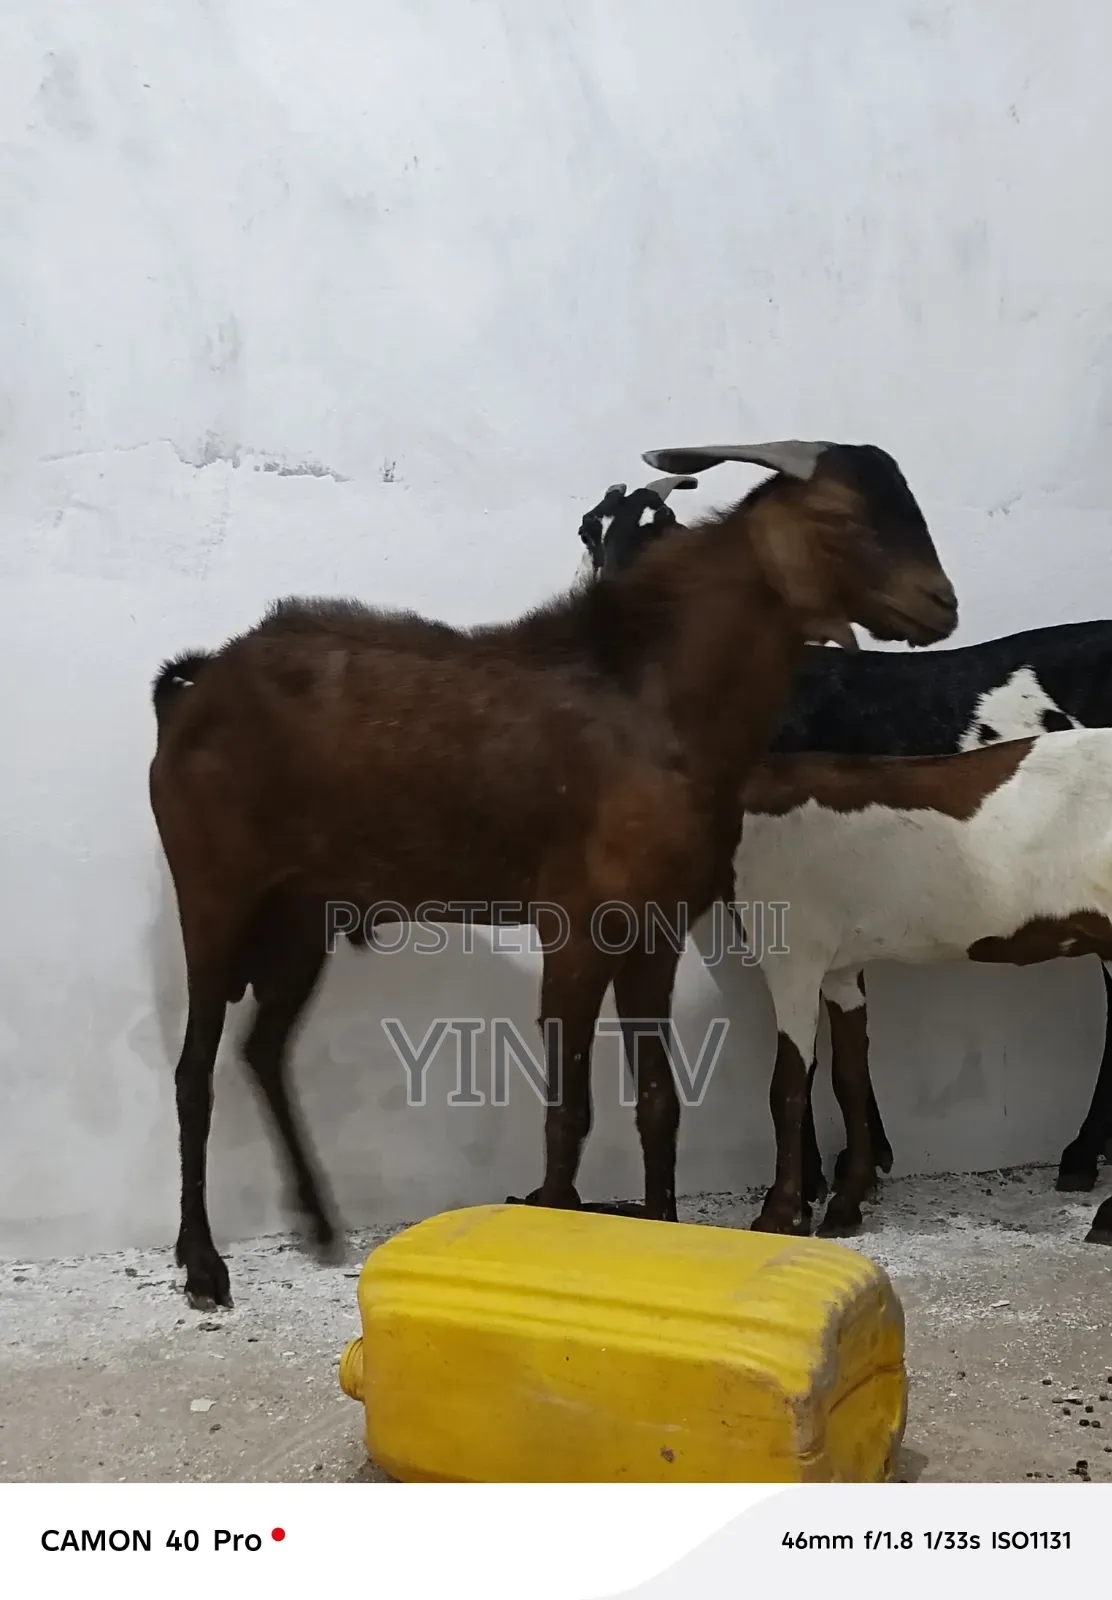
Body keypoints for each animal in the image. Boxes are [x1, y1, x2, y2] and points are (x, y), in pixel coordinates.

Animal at [150, 438, 956, 1307]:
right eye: (842, 516)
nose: (942, 603)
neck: (656, 704)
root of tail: (192, 686)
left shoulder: (656, 931)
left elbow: (658, 1102)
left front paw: (663, 1233)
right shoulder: (576, 926)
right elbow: (567, 1114)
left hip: (304, 916)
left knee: (262, 1048)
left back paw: (321, 1222)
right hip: (214, 894)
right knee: (193, 1071)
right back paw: (203, 1263)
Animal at [695, 730, 1112, 1242]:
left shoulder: (794, 958)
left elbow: (788, 1085)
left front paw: (780, 1216)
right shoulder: (840, 969)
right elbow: (849, 1076)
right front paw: (845, 1204)